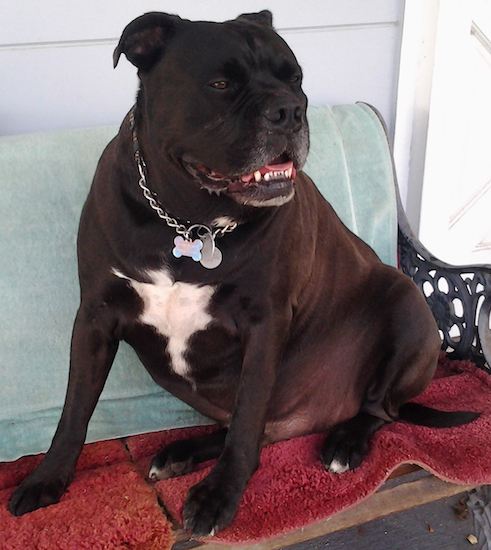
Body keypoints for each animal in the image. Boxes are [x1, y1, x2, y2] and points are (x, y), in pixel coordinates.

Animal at [9, 10, 478, 536]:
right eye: (220, 84)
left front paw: (220, 495)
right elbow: (74, 409)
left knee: (378, 409)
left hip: (407, 303)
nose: (289, 111)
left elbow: (249, 415)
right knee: (254, 428)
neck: (188, 220)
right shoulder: (95, 315)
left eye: (295, 80)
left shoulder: (264, 323)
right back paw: (181, 451)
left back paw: (346, 442)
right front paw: (48, 478)